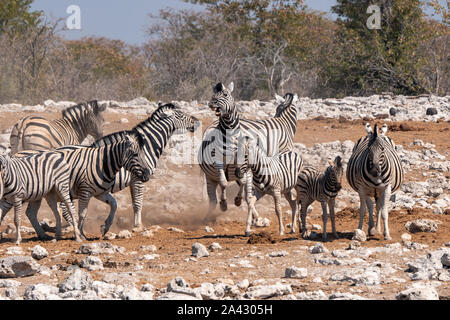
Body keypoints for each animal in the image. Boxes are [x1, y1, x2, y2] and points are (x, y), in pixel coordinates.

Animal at [19, 133, 151, 240]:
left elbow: (114, 204)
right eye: (135, 154)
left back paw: (43, 235)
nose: (148, 174)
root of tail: (18, 153)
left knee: (30, 213)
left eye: (144, 154)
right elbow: (82, 213)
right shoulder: (85, 191)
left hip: (37, 194)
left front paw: (105, 227)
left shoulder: (100, 193)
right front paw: (81, 233)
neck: (102, 164)